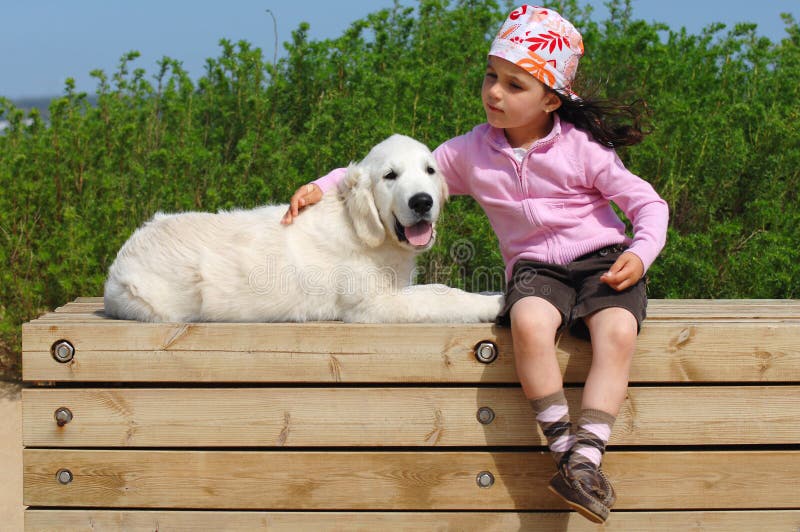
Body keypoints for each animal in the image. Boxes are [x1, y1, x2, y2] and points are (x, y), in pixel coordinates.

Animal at [103, 135, 504, 322]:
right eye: (390, 176)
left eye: (430, 171)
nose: (422, 202)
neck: (363, 228)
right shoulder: (372, 304)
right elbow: (442, 293)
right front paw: (494, 303)